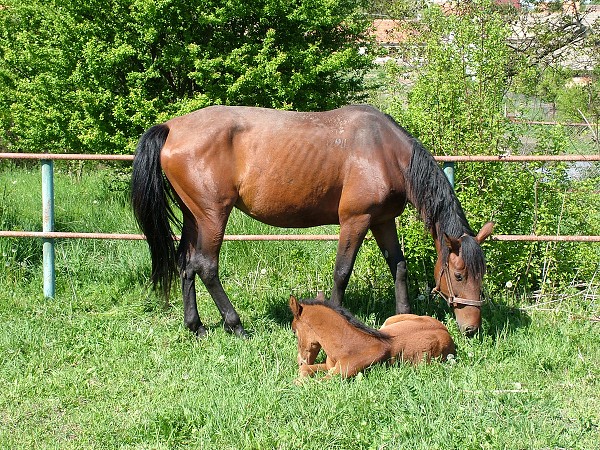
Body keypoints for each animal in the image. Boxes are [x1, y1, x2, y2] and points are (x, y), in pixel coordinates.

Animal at [131, 104, 492, 338]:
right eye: (458, 275)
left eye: (481, 274)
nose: (472, 328)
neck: (384, 151)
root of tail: (171, 127)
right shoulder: (356, 220)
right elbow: (342, 272)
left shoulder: (383, 221)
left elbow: (399, 266)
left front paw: (404, 317)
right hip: (212, 216)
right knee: (206, 266)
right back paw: (236, 326)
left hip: (194, 216)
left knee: (186, 264)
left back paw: (196, 326)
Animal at [290, 294, 454, 378]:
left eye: (294, 331)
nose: (300, 361)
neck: (348, 346)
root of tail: (446, 331)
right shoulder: (329, 366)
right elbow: (305, 371)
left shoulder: (338, 376)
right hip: (389, 321)